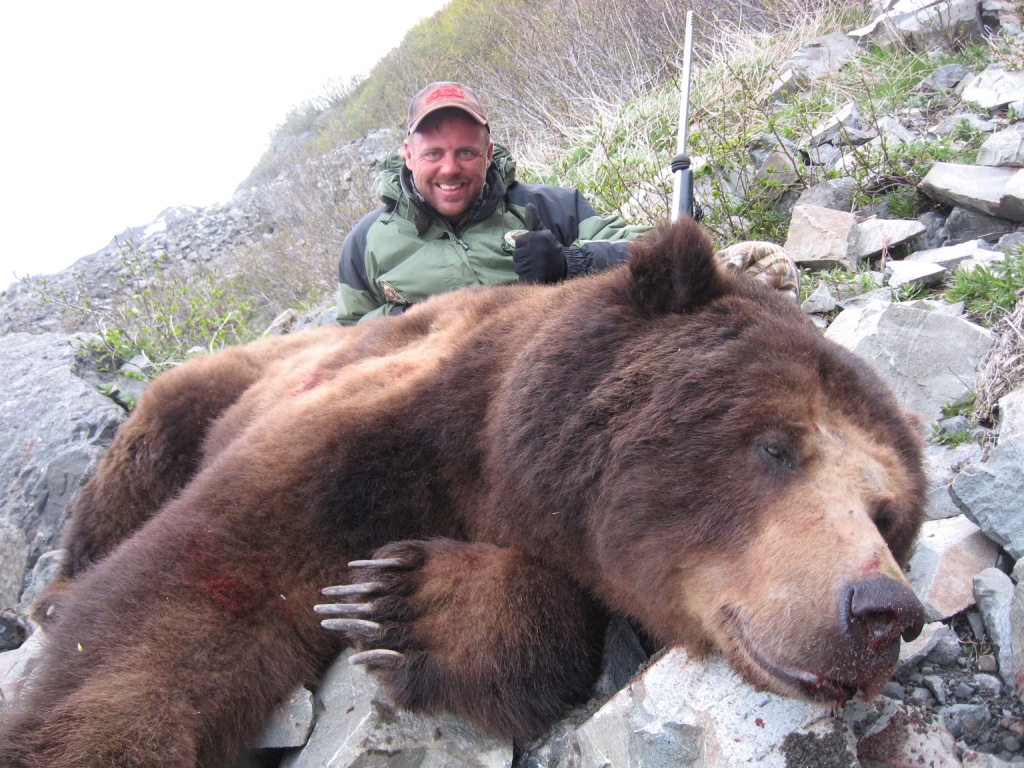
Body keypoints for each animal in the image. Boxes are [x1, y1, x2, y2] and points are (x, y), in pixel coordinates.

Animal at [0, 218, 929, 768]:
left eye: (886, 512)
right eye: (776, 446)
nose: (882, 612)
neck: (496, 448)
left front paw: (406, 604)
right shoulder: (380, 428)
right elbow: (193, 596)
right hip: (220, 386)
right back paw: (55, 593)